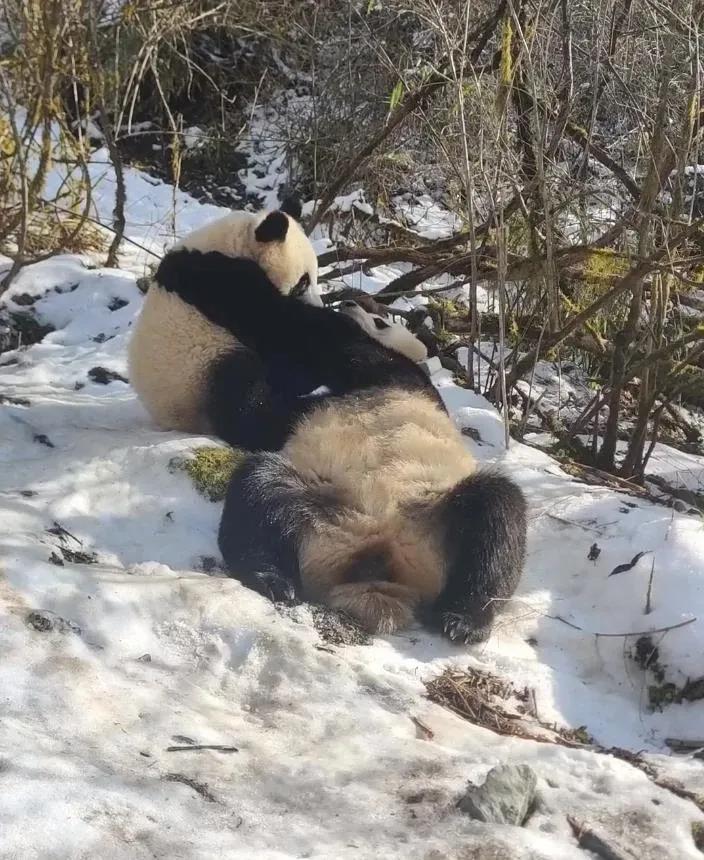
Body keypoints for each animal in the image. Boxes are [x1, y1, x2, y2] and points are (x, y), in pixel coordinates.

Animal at [129, 196, 322, 450]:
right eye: (302, 283)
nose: (319, 306)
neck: (236, 242)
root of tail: (176, 422)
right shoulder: (221, 280)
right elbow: (273, 326)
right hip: (197, 369)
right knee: (242, 396)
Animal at [157, 245, 524, 640]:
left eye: (380, 319)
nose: (348, 300)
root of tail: (380, 571)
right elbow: (262, 419)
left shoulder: (383, 369)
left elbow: (295, 329)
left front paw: (190, 267)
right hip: (323, 507)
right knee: (263, 489)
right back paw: (272, 577)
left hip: (432, 515)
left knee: (498, 512)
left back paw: (464, 619)